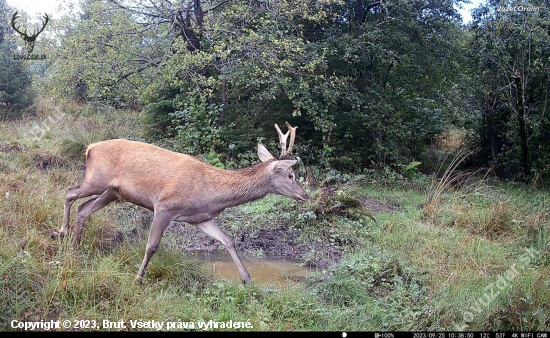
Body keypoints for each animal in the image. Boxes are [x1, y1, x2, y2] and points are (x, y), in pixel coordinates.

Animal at [53, 122, 308, 286]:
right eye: (291, 175)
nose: (305, 196)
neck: (211, 193)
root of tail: (90, 147)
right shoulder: (165, 207)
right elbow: (152, 246)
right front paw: (138, 279)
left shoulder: (200, 218)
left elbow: (228, 239)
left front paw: (246, 279)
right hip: (96, 180)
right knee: (69, 192)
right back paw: (62, 231)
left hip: (113, 192)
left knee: (83, 208)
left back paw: (76, 244)